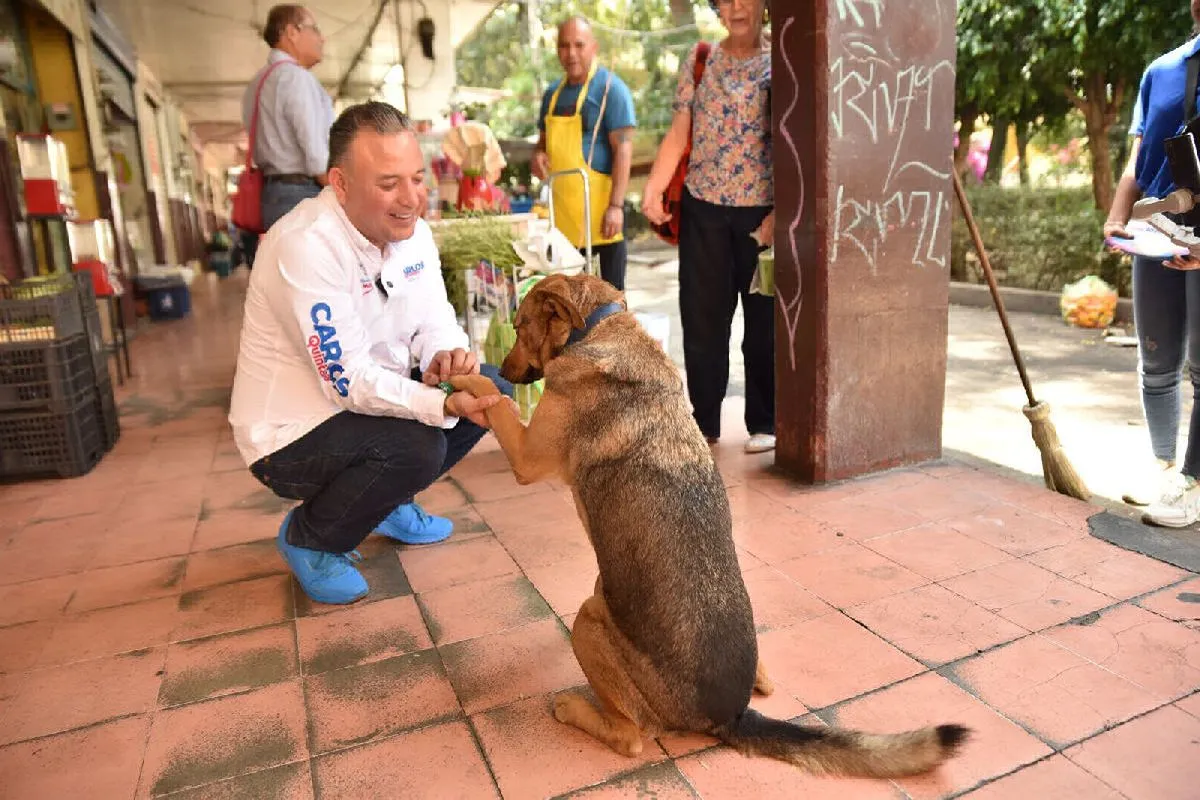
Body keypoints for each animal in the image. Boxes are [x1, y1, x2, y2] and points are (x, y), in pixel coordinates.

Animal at [451, 273, 964, 777]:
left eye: (519, 327)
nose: (506, 370)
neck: (598, 328)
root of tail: (731, 716)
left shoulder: (526, 456)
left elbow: (494, 403)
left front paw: (459, 376)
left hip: (588, 620)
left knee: (629, 737)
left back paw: (575, 709)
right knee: (764, 685)